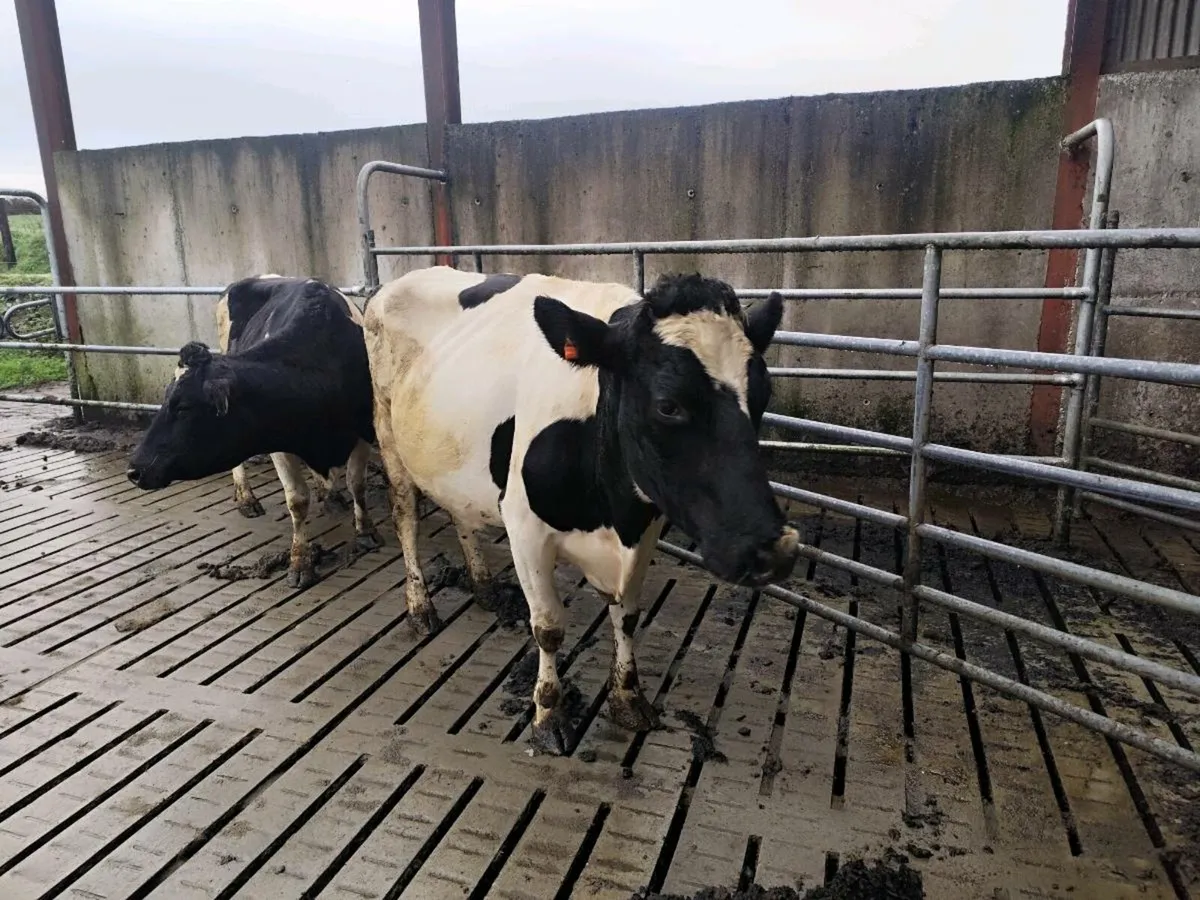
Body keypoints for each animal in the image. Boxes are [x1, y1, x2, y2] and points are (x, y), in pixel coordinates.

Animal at [126, 274, 383, 588]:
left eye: (183, 407)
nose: (134, 471)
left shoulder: (362, 430)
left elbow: (356, 483)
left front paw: (366, 532)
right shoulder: (278, 441)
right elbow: (297, 500)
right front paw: (300, 563)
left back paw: (330, 495)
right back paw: (246, 498)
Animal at [364, 266, 800, 754]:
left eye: (763, 393)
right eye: (669, 405)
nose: (774, 549)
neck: (613, 513)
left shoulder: (645, 526)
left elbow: (627, 616)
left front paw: (628, 698)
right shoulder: (525, 528)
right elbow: (549, 627)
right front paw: (548, 715)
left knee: (461, 511)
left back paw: (484, 586)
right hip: (388, 433)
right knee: (405, 517)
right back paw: (419, 607)